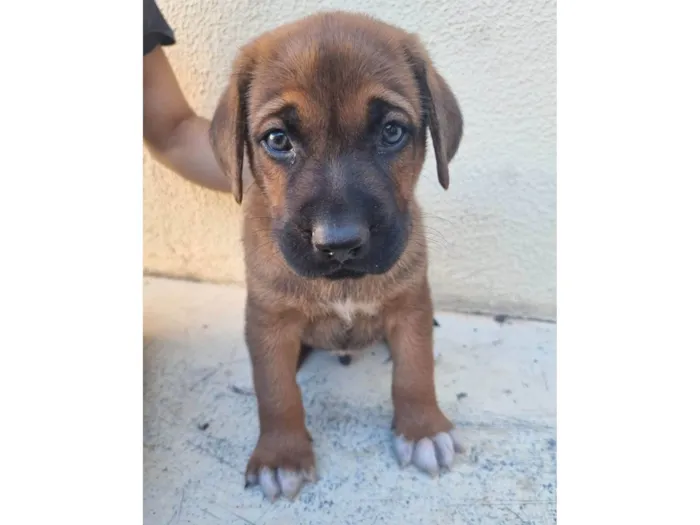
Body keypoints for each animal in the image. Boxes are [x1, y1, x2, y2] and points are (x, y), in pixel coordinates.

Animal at [212, 10, 464, 498]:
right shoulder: (269, 320)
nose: (340, 242)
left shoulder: (410, 305)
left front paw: (423, 428)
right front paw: (281, 454)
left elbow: (415, 369)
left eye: (391, 131)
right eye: (278, 140)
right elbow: (276, 390)